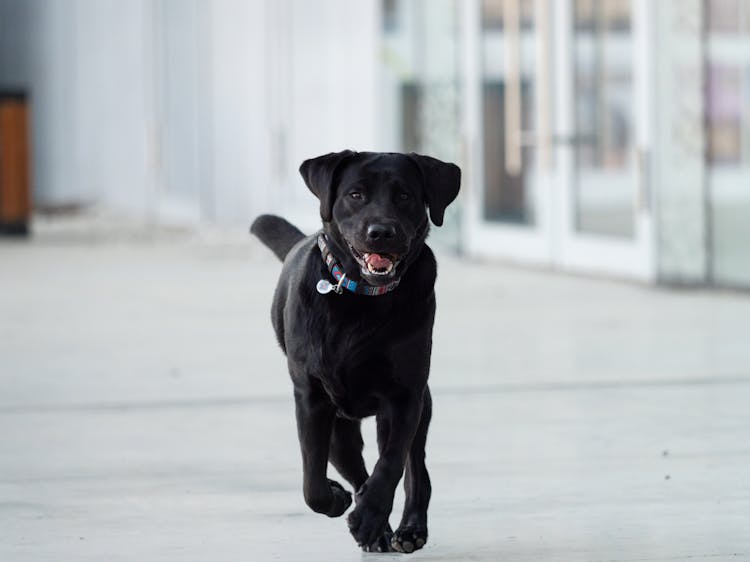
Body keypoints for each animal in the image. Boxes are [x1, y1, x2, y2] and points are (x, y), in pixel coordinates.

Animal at [253, 149, 462, 552]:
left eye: (404, 196)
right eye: (355, 195)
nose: (381, 232)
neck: (362, 299)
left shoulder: (404, 396)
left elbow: (391, 463)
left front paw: (368, 517)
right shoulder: (312, 397)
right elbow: (312, 481)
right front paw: (339, 501)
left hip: (421, 406)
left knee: (414, 468)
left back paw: (407, 529)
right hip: (340, 430)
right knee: (353, 467)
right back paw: (374, 524)